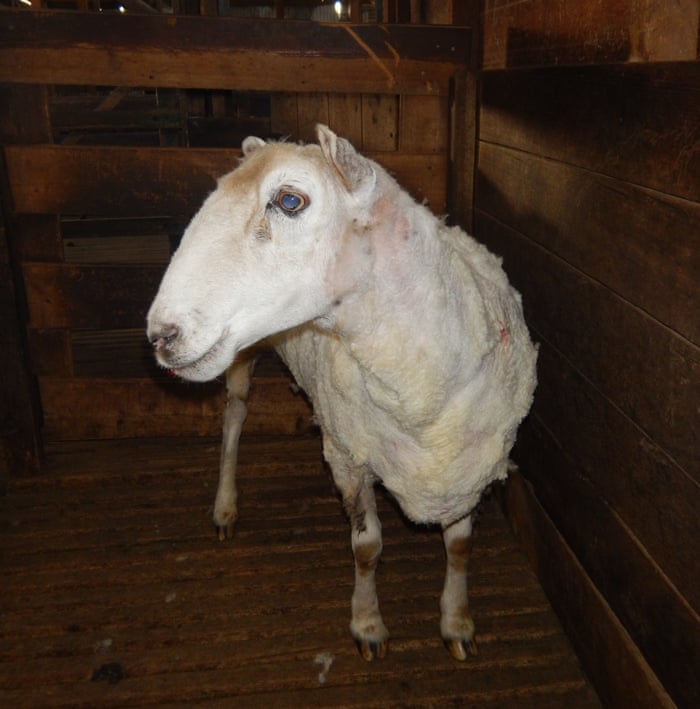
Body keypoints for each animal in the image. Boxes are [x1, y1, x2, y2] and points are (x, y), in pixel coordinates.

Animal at [147, 125, 538, 661]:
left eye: (289, 200)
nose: (160, 335)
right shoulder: (349, 457)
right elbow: (367, 547)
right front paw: (368, 624)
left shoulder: (467, 472)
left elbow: (459, 546)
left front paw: (457, 622)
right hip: (240, 358)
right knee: (234, 418)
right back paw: (225, 504)